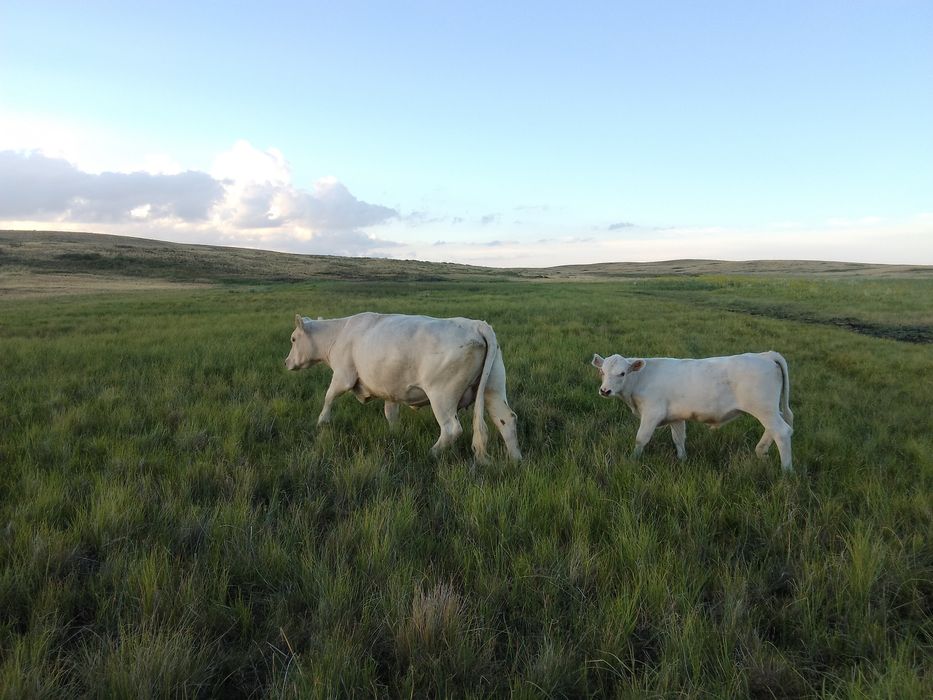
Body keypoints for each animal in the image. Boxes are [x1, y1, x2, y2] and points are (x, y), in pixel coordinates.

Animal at [285, 312, 522, 463]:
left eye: (293, 339)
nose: (286, 362)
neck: (339, 333)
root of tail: (477, 325)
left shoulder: (343, 376)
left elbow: (328, 397)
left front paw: (321, 422)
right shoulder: (391, 390)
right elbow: (391, 413)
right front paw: (395, 434)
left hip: (442, 396)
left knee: (451, 429)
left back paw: (431, 453)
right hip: (493, 389)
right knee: (506, 419)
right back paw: (515, 460)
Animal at [591, 351, 794, 471]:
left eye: (622, 373)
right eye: (602, 371)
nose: (604, 390)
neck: (641, 378)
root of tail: (765, 355)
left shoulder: (652, 413)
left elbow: (641, 438)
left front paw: (633, 460)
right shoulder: (675, 417)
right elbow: (679, 439)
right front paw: (682, 459)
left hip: (763, 408)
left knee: (782, 431)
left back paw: (786, 471)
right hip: (771, 409)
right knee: (777, 428)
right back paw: (761, 452)